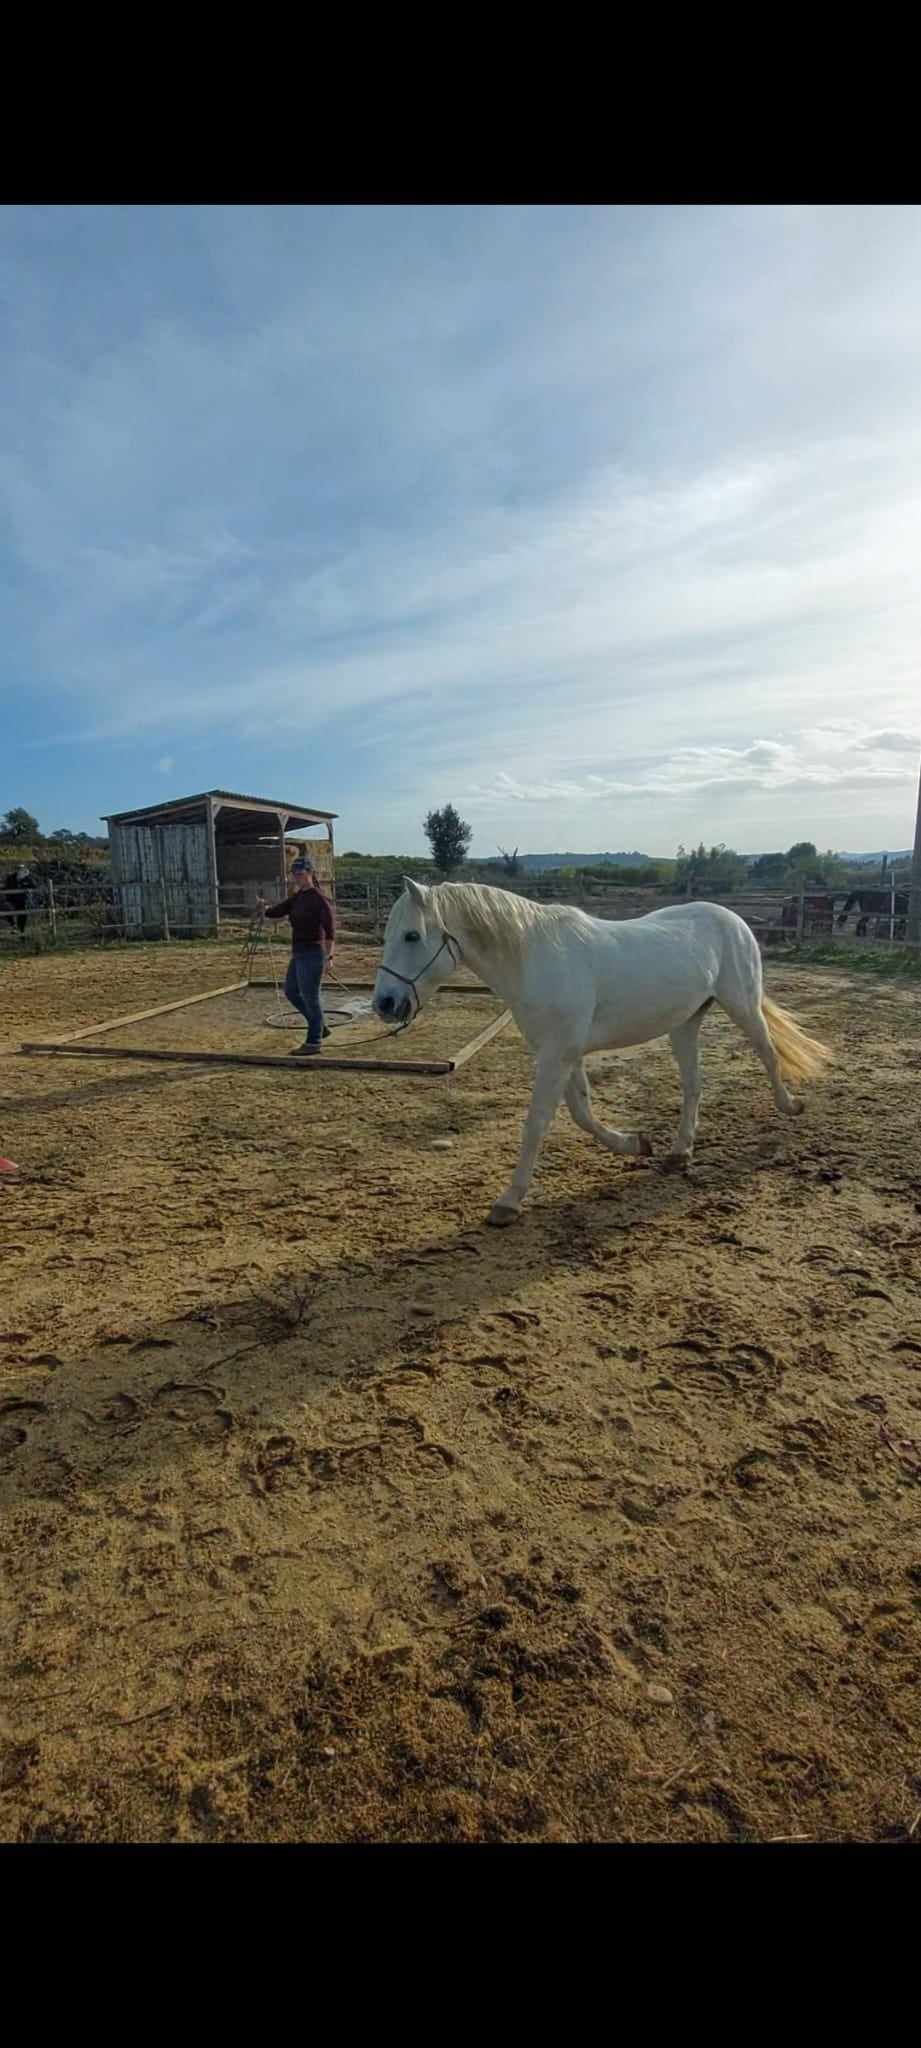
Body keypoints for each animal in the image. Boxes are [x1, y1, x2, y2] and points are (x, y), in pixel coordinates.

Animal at [370, 872, 830, 1220]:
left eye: (411, 936)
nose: (385, 1004)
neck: (533, 958)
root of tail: (733, 919)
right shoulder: (564, 1053)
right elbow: (583, 1115)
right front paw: (635, 1144)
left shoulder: (556, 1055)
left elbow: (537, 1124)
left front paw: (509, 1201)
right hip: (684, 1025)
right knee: (693, 1086)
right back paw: (679, 1152)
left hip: (742, 1005)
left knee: (767, 1053)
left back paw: (791, 1106)